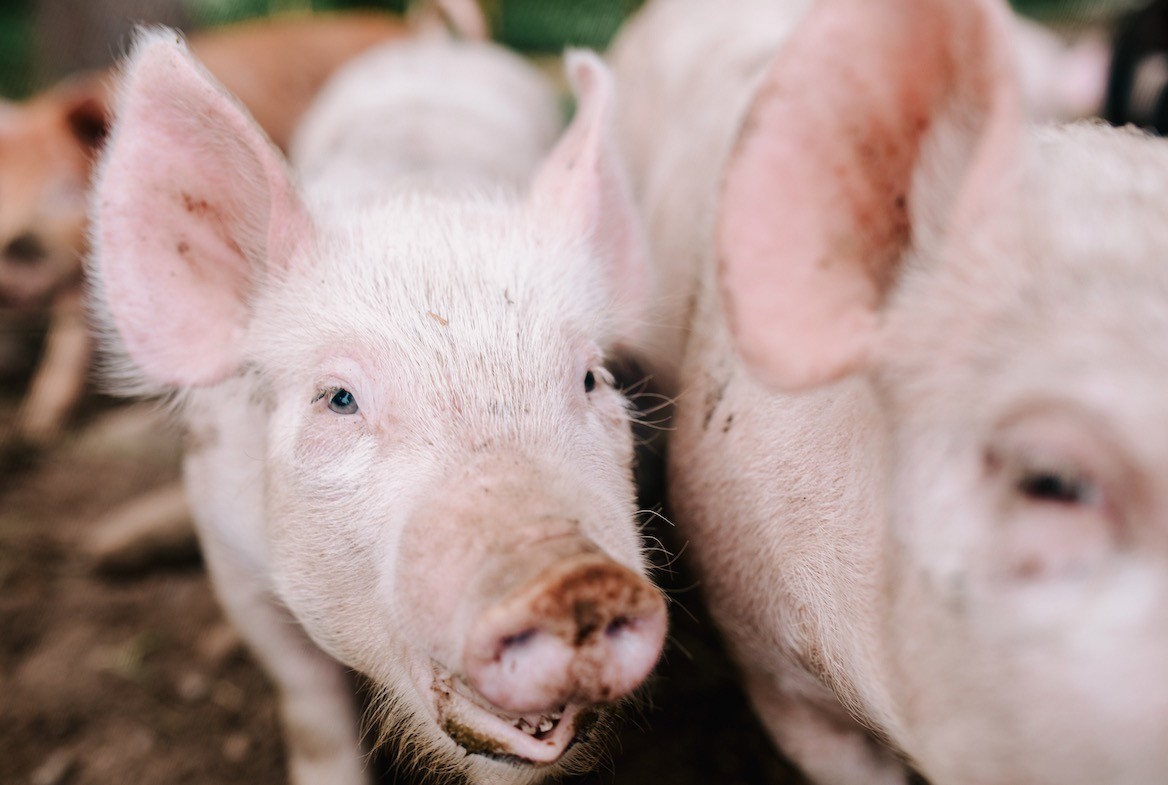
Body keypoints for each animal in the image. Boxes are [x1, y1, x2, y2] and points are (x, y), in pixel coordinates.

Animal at [89, 27, 668, 785]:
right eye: (339, 399)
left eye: (591, 379)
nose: (574, 575)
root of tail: (437, 39)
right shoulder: (228, 554)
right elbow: (307, 702)